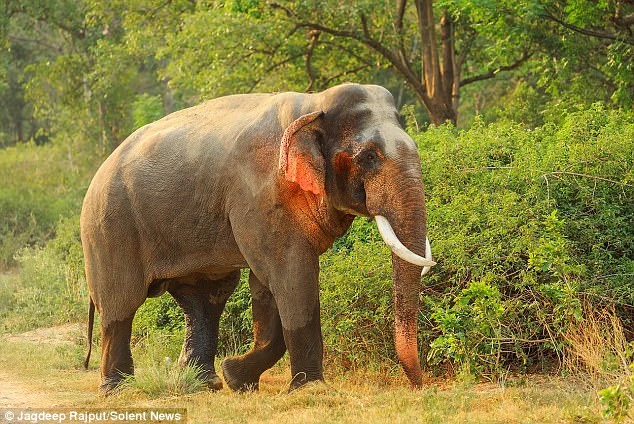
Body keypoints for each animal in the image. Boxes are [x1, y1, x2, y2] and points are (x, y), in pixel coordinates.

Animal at [79, 83, 434, 394]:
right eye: (369, 157)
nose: (419, 387)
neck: (313, 104)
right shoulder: (259, 196)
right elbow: (291, 275)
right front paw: (309, 390)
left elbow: (266, 284)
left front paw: (237, 377)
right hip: (109, 228)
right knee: (121, 304)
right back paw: (118, 390)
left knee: (206, 299)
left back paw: (204, 384)